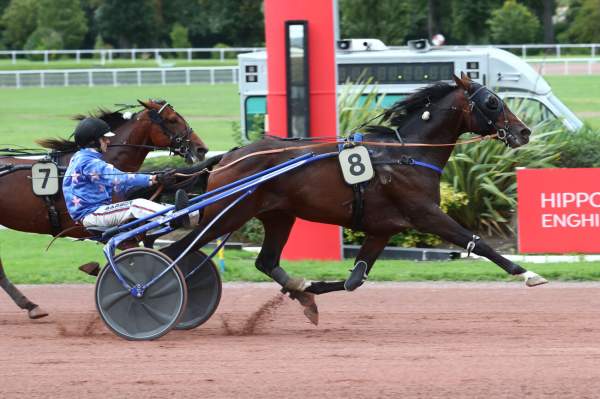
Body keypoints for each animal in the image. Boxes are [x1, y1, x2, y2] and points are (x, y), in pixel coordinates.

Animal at [164, 75, 548, 324]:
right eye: (492, 102)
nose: (524, 131)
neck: (408, 154)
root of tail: (228, 157)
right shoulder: (425, 213)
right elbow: (477, 242)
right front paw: (528, 274)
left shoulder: (382, 229)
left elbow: (355, 280)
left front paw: (308, 290)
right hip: (227, 214)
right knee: (175, 252)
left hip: (278, 215)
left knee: (265, 261)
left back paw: (295, 287)